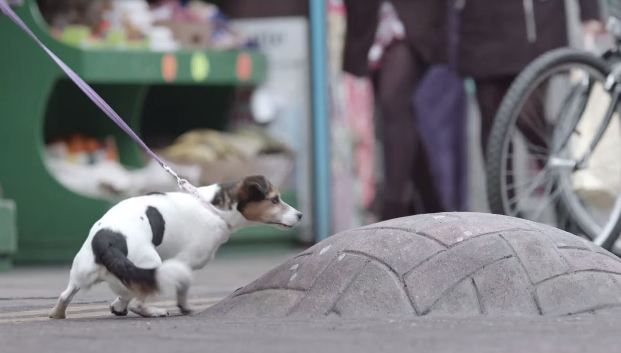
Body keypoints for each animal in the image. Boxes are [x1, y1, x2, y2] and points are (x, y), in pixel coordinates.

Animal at [48, 175, 300, 318]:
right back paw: (153, 312)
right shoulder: (183, 264)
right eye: (275, 200)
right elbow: (180, 291)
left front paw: (118, 306)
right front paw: (184, 308)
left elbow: (126, 294)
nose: (300, 215)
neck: (214, 207)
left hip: (83, 272)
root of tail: (107, 239)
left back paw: (57, 314)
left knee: (64, 296)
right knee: (139, 302)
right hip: (151, 263)